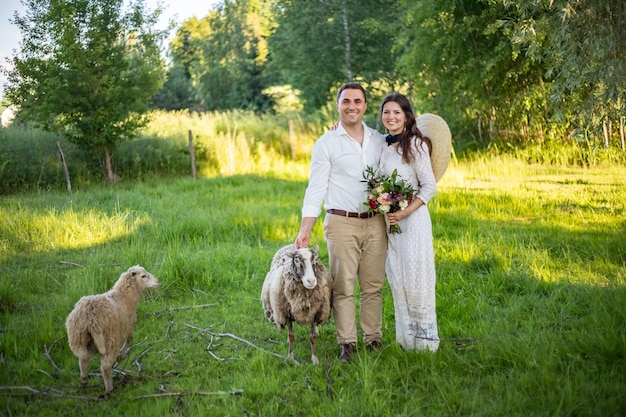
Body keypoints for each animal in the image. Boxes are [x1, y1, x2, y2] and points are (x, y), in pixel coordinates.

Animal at [65, 264, 158, 398]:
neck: (123, 296)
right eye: (143, 276)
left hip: (76, 337)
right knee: (105, 367)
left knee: (83, 357)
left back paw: (84, 379)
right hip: (110, 339)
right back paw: (109, 389)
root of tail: (90, 319)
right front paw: (121, 355)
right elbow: (129, 339)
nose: (157, 282)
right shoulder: (128, 325)